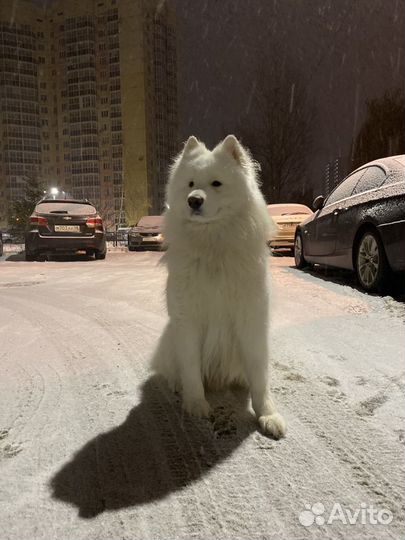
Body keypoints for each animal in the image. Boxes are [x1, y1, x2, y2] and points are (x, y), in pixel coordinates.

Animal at [150, 135, 286, 438]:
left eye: (216, 183)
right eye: (190, 183)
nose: (193, 200)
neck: (212, 246)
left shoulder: (250, 320)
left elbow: (259, 374)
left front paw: (268, 415)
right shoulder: (188, 321)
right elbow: (190, 367)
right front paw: (195, 404)